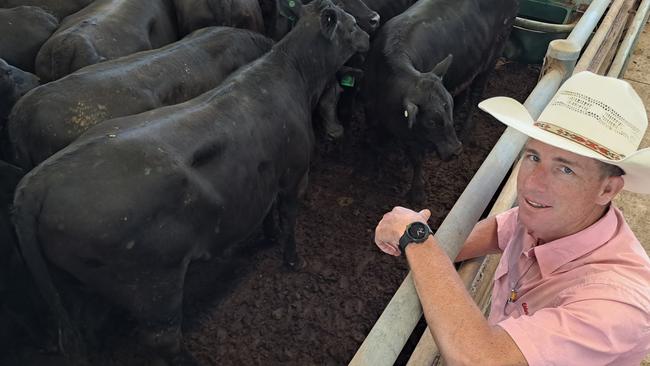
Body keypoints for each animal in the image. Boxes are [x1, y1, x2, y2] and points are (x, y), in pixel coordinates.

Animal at [362, 0, 512, 202]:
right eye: (431, 121)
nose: (456, 150)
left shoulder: (416, 137)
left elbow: (417, 158)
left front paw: (417, 193)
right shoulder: (370, 112)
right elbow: (375, 144)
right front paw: (374, 172)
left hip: (493, 55)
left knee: (475, 96)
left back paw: (465, 130)